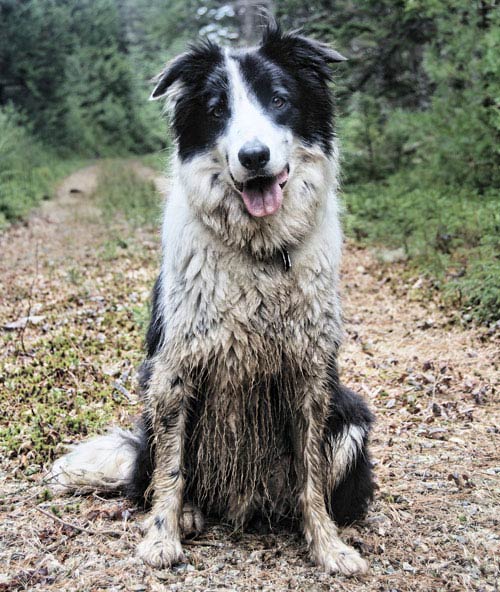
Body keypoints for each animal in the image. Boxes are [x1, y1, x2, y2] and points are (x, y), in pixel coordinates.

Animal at [49, 25, 376, 576]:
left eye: (279, 100)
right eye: (217, 109)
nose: (253, 156)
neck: (260, 253)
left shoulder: (311, 372)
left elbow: (311, 475)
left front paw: (328, 546)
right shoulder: (173, 368)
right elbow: (171, 469)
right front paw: (162, 538)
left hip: (350, 418)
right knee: (155, 472)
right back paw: (187, 514)